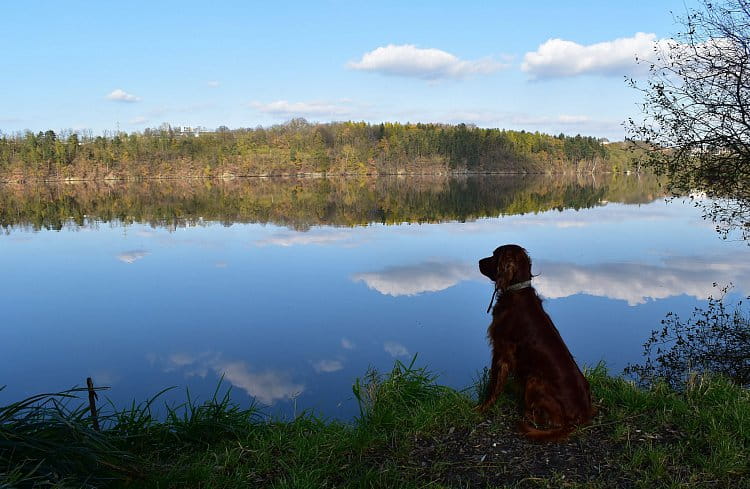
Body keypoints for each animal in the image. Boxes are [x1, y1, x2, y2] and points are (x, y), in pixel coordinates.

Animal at [478, 246, 596, 440]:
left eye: (495, 255)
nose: (479, 262)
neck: (516, 291)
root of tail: (581, 416)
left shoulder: (501, 350)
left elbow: (494, 385)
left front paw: (481, 408)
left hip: (534, 380)